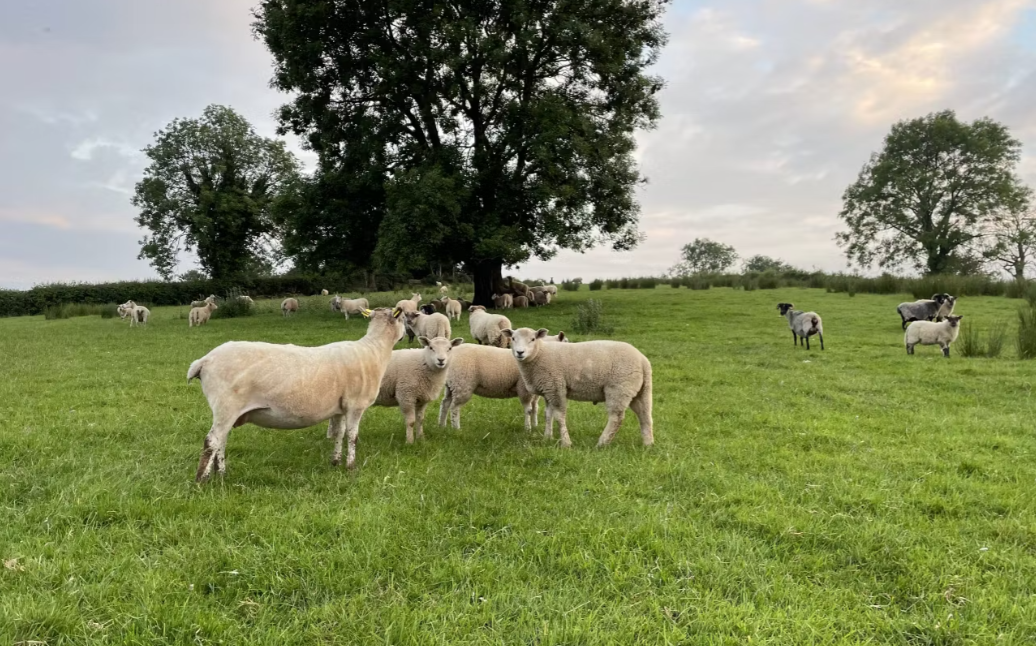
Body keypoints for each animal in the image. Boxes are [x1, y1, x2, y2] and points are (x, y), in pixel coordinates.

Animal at [188, 307, 405, 481]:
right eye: (403, 318)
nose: (406, 334)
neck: (374, 350)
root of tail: (204, 361)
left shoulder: (340, 408)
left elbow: (339, 433)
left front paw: (335, 462)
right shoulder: (355, 405)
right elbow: (352, 437)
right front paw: (351, 467)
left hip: (227, 411)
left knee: (221, 441)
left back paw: (221, 474)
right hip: (226, 405)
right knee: (212, 441)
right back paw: (202, 480)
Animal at [501, 327, 653, 448]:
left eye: (533, 339)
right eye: (513, 338)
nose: (520, 352)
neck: (539, 354)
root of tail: (643, 360)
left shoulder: (556, 387)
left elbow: (559, 416)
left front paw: (566, 443)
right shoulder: (548, 390)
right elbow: (548, 414)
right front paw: (547, 438)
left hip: (618, 388)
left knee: (616, 417)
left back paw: (602, 443)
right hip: (641, 391)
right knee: (645, 415)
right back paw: (648, 444)